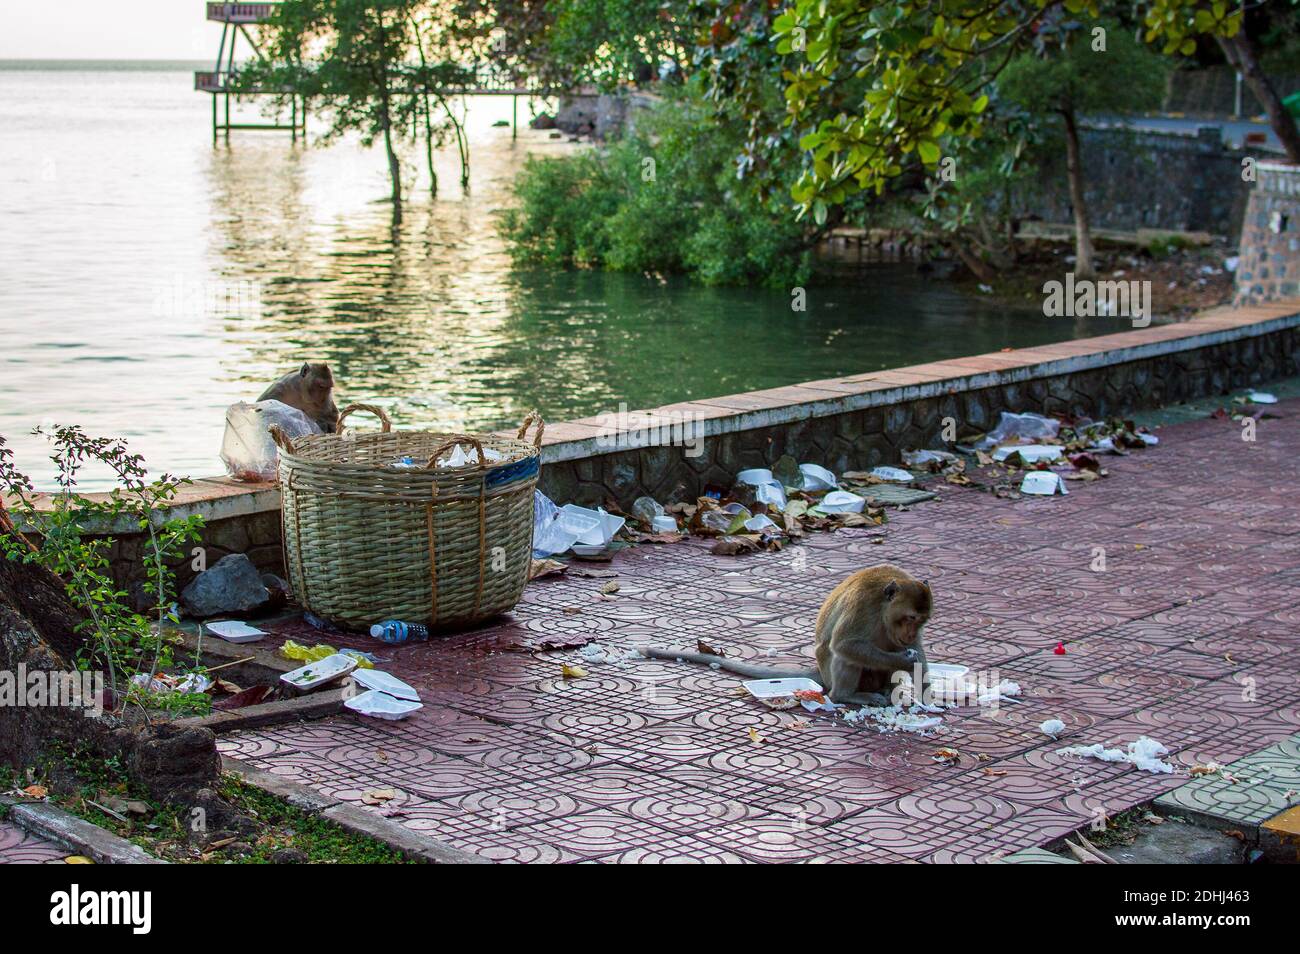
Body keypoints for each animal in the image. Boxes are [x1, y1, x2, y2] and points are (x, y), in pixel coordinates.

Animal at [637, 561, 925, 712]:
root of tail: (821, 674)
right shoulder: (863, 605)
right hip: (834, 674)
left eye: (921, 621)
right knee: (845, 656)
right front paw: (903, 660)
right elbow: (845, 644)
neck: (883, 608)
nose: (910, 633)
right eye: (910, 617)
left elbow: (918, 653)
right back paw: (848, 695)